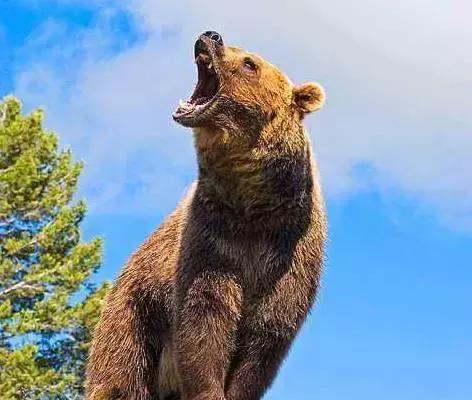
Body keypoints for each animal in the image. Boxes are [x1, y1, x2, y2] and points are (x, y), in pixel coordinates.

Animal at [85, 31, 324, 400]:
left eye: (250, 63)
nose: (211, 36)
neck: (253, 205)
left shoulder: (289, 249)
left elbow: (266, 334)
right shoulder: (212, 240)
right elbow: (205, 318)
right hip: (134, 314)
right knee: (120, 376)